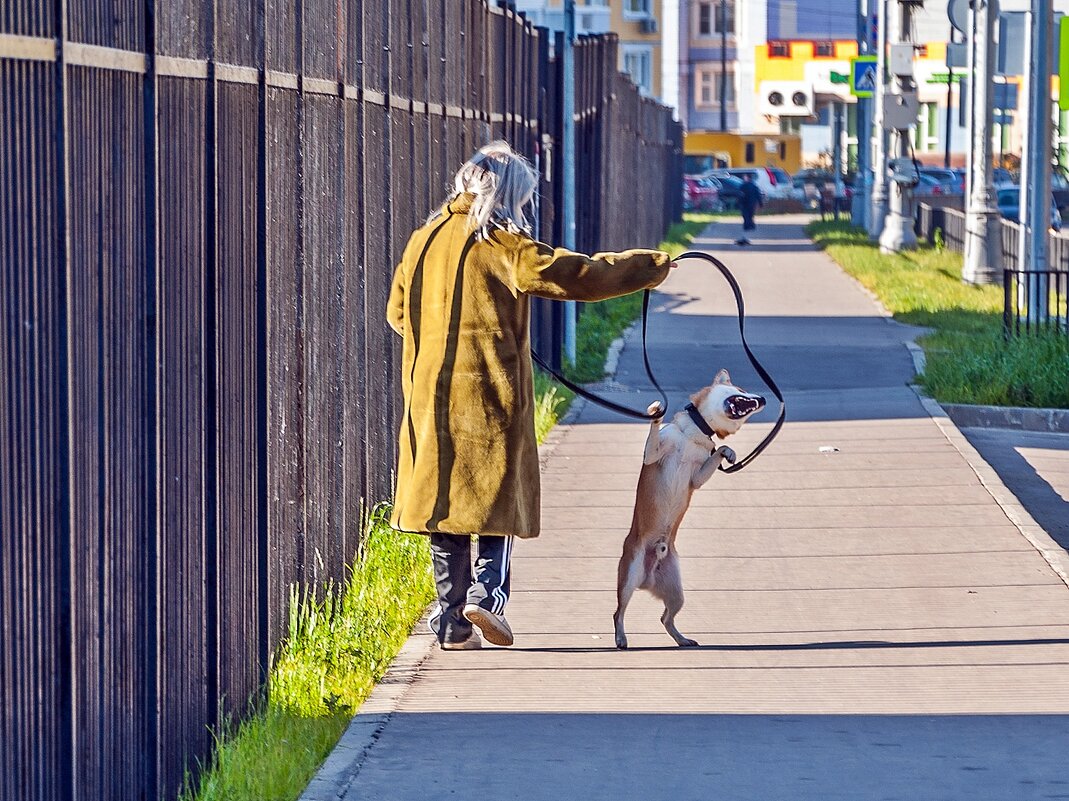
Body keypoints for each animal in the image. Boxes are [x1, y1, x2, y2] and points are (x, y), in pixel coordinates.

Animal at [615, 370, 765, 650]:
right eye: (741, 390)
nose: (762, 398)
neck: (693, 433)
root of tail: (647, 579)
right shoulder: (653, 454)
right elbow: (654, 431)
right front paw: (656, 411)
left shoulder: (696, 478)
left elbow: (714, 456)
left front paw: (727, 451)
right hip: (629, 576)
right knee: (619, 612)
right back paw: (620, 637)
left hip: (676, 592)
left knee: (665, 618)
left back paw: (682, 639)